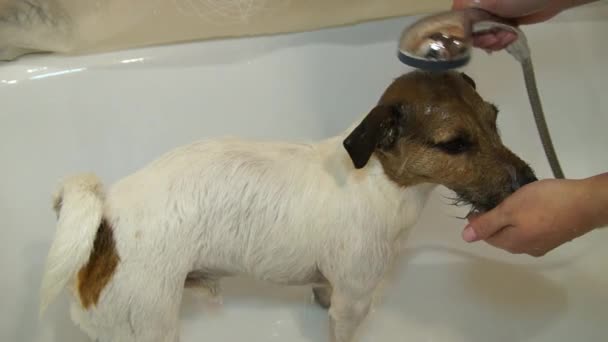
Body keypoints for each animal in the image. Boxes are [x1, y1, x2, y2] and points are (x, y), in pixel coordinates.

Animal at [40, 70, 536, 342]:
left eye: (494, 119)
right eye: (454, 144)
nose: (530, 182)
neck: (380, 180)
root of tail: (104, 218)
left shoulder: (333, 288)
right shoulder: (354, 301)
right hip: (148, 324)